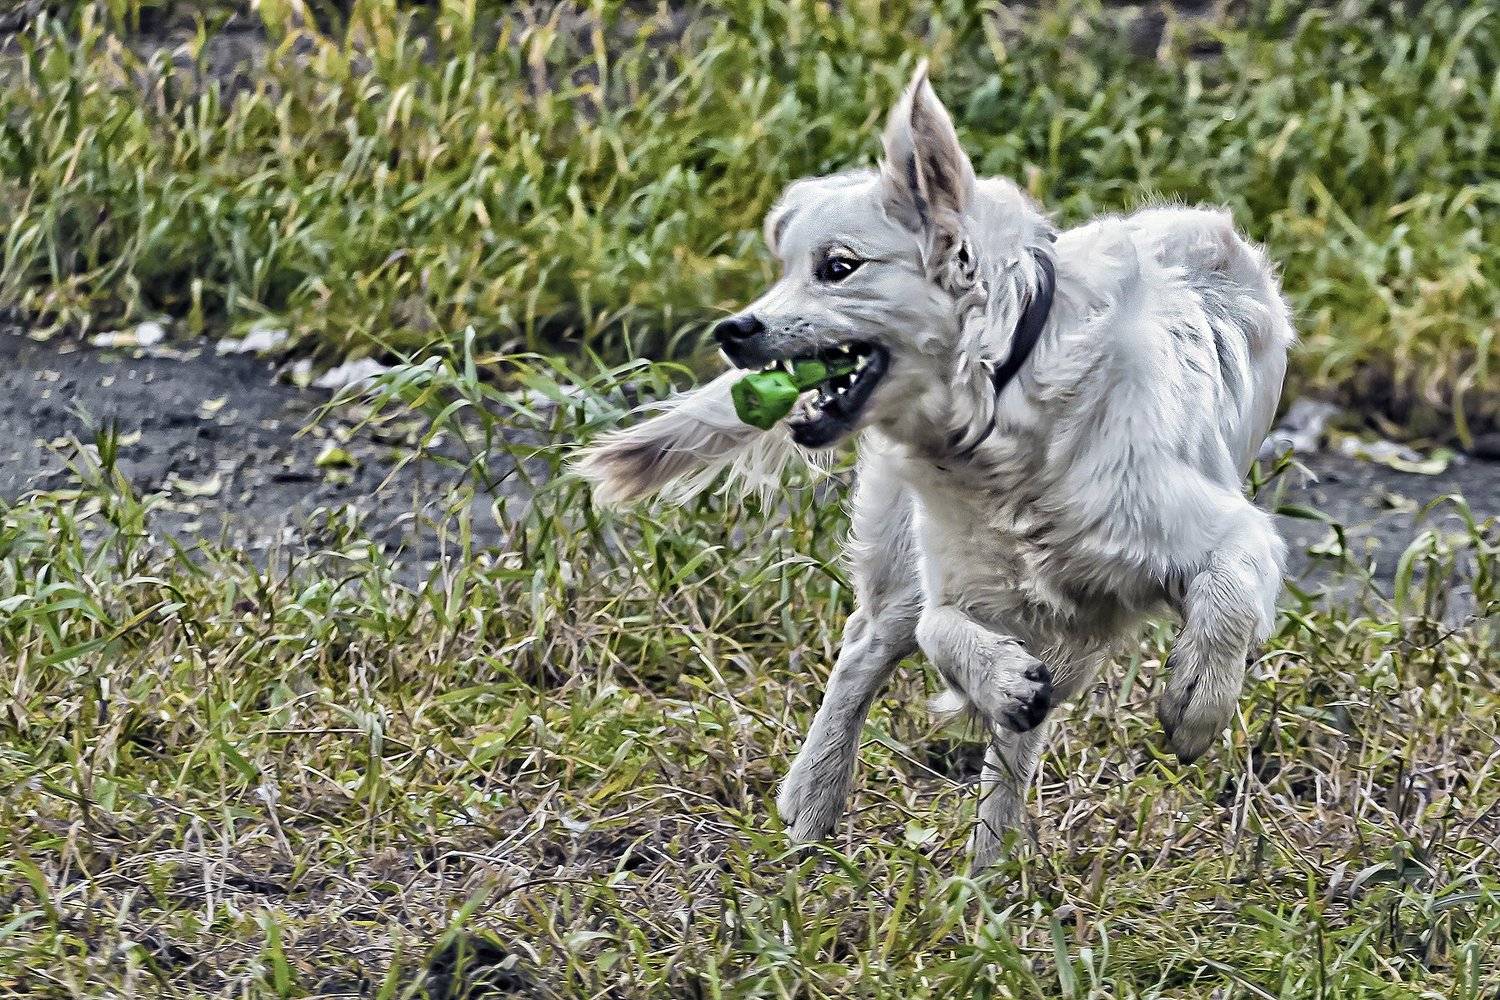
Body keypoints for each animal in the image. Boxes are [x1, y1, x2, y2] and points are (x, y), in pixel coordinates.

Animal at [574, 64, 1292, 864]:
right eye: (785, 271)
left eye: (838, 268)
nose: (733, 330)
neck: (1002, 404)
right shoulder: (956, 576)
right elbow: (942, 634)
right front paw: (1000, 678)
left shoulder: (1214, 530)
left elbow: (1227, 597)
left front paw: (1196, 705)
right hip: (901, 562)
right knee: (869, 650)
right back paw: (815, 808)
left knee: (1010, 752)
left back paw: (990, 870)